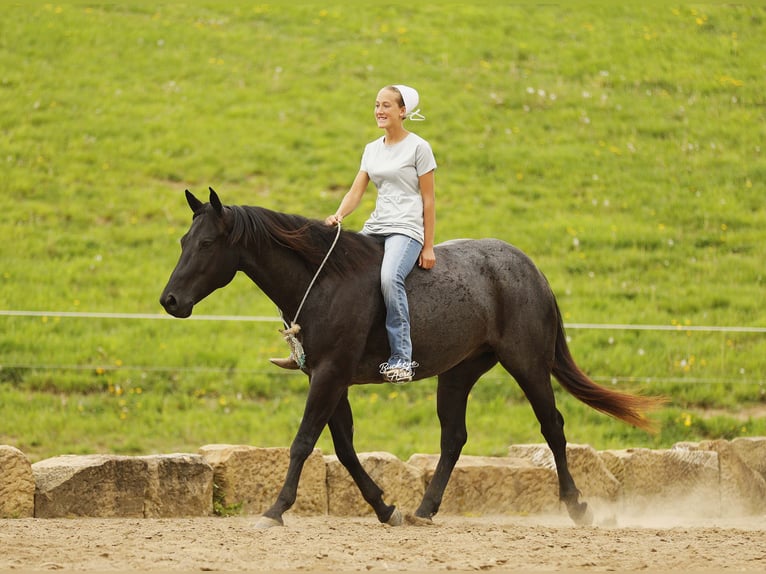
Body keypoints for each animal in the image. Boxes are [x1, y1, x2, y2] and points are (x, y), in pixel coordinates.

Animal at [160, 188, 661, 528]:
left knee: (552, 428)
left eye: (206, 244)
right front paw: (386, 507)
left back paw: (578, 507)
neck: (325, 280)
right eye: (184, 239)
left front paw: (276, 509)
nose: (170, 301)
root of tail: (528, 268)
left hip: (528, 364)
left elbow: (304, 442)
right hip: (458, 374)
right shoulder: (328, 378)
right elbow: (343, 448)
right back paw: (424, 509)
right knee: (454, 438)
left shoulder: (330, 375)